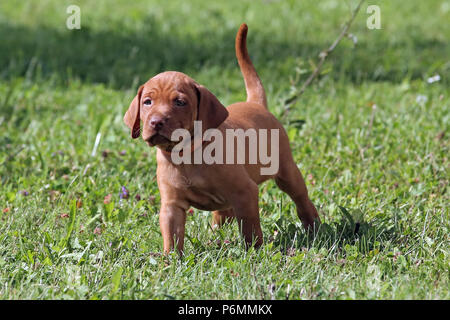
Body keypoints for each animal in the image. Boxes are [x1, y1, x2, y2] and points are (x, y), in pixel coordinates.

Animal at [123, 23, 320, 254]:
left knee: (301, 199)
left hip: (286, 171)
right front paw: (170, 260)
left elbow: (250, 228)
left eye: (180, 102)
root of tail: (255, 103)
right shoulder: (172, 205)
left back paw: (314, 226)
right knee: (223, 214)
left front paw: (254, 253)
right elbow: (171, 237)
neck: (187, 155)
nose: (156, 122)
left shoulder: (245, 191)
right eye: (147, 102)